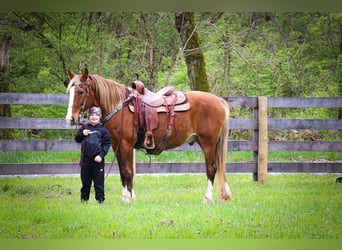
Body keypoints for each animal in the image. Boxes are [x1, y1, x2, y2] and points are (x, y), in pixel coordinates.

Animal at [65, 69, 231, 203]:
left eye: (80, 92)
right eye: (69, 92)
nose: (70, 119)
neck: (120, 107)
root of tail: (219, 100)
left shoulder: (126, 145)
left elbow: (128, 171)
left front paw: (129, 199)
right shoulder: (117, 145)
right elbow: (122, 172)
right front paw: (125, 197)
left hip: (208, 143)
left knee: (212, 168)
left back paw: (207, 199)